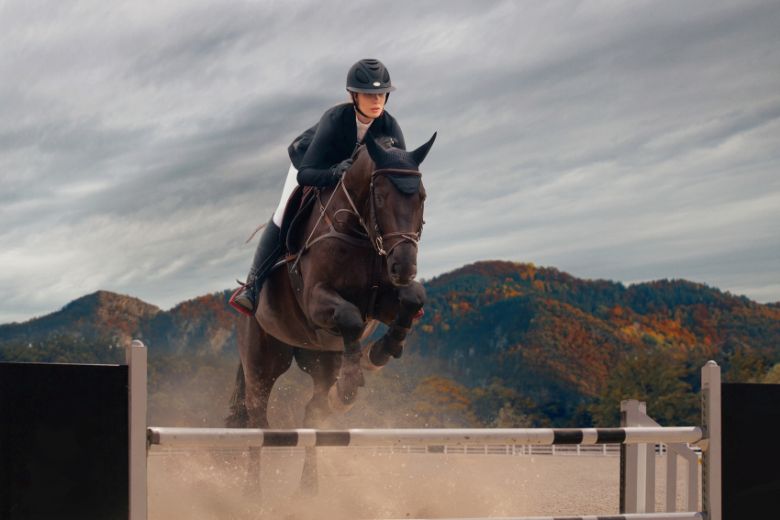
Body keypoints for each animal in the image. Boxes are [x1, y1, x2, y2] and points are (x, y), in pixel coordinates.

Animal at [226, 132, 436, 495]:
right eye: (379, 196)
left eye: (421, 197)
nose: (405, 267)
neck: (361, 233)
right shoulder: (316, 301)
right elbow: (349, 315)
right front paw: (351, 383)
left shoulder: (382, 302)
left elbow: (412, 299)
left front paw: (381, 352)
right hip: (263, 359)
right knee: (257, 418)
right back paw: (253, 491)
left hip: (321, 358)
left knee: (314, 412)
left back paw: (309, 487)